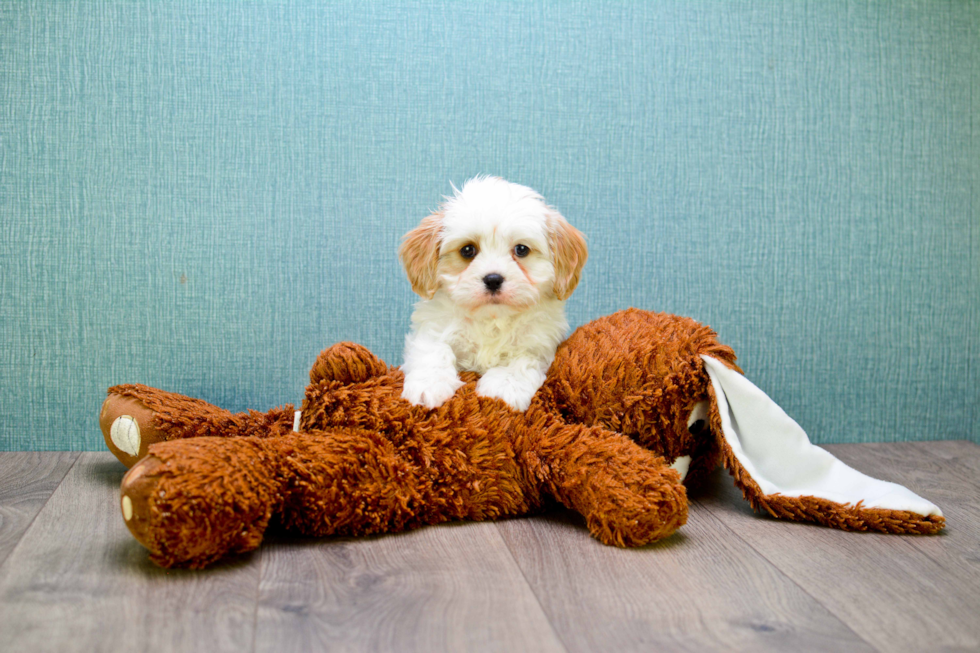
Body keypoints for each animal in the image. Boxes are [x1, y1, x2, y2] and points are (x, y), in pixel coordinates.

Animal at [400, 176, 588, 410]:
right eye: (467, 250)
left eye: (521, 250)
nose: (493, 279)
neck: (492, 319)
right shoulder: (431, 330)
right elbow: (434, 351)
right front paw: (429, 385)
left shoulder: (539, 346)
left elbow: (522, 360)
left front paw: (503, 386)